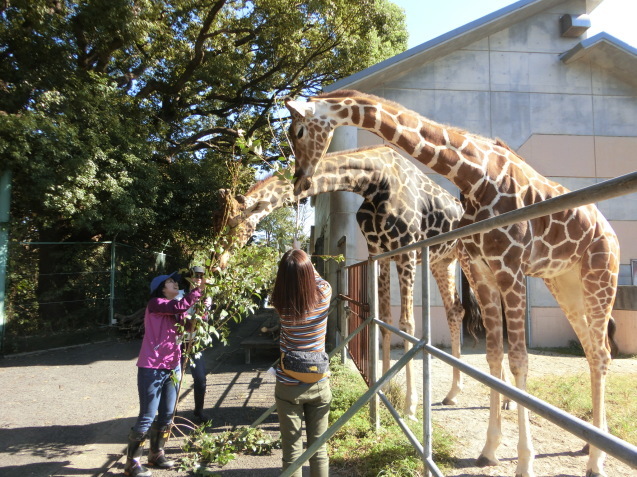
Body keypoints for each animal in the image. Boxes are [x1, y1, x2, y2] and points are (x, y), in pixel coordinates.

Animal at [211, 144, 480, 416]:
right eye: (218, 223)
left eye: (233, 224)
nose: (217, 263)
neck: (375, 182)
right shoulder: (380, 251)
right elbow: (385, 318)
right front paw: (384, 388)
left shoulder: (406, 249)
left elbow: (407, 323)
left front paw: (410, 405)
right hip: (443, 260)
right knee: (456, 310)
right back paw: (453, 394)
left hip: (472, 260)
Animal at [286, 90, 620, 476]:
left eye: (298, 131)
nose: (299, 181)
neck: (475, 176)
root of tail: (609, 232)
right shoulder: (478, 268)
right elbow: (490, 353)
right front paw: (489, 449)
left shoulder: (507, 265)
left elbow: (516, 357)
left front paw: (524, 461)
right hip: (563, 284)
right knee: (592, 349)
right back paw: (591, 442)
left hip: (600, 276)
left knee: (601, 352)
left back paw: (596, 459)